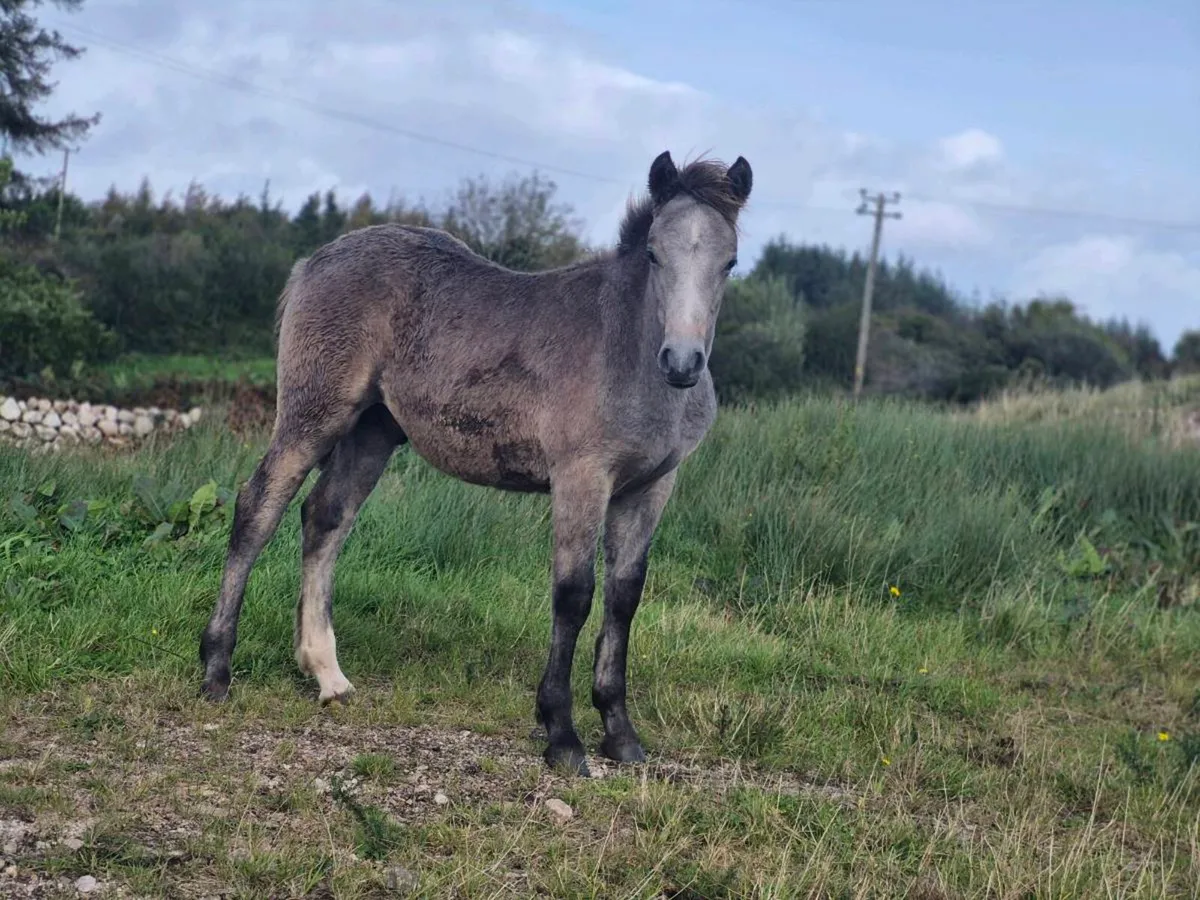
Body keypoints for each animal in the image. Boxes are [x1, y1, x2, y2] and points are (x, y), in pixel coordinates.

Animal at [199, 150, 753, 776]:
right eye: (656, 253)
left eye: (730, 261)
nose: (682, 362)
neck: (629, 354)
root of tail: (312, 262)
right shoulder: (581, 477)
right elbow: (574, 594)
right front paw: (562, 735)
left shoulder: (651, 487)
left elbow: (624, 596)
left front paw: (620, 732)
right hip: (315, 412)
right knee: (258, 508)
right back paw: (216, 670)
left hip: (373, 430)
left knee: (325, 517)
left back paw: (327, 675)